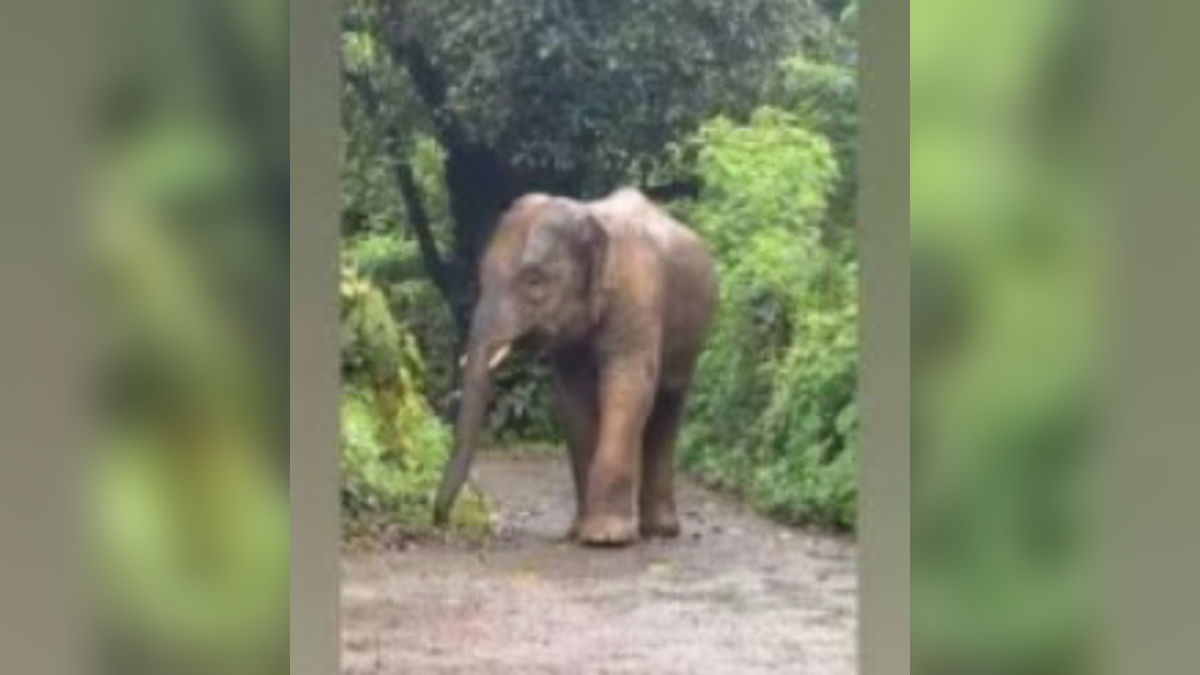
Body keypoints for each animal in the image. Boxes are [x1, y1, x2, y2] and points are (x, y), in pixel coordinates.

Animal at [432, 187, 717, 546]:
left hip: (692, 338)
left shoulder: (638, 295)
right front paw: (578, 532)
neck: (586, 215)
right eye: (481, 278)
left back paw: (660, 531)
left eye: (534, 281)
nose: (440, 520)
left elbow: (628, 386)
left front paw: (605, 538)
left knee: (669, 403)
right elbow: (572, 398)